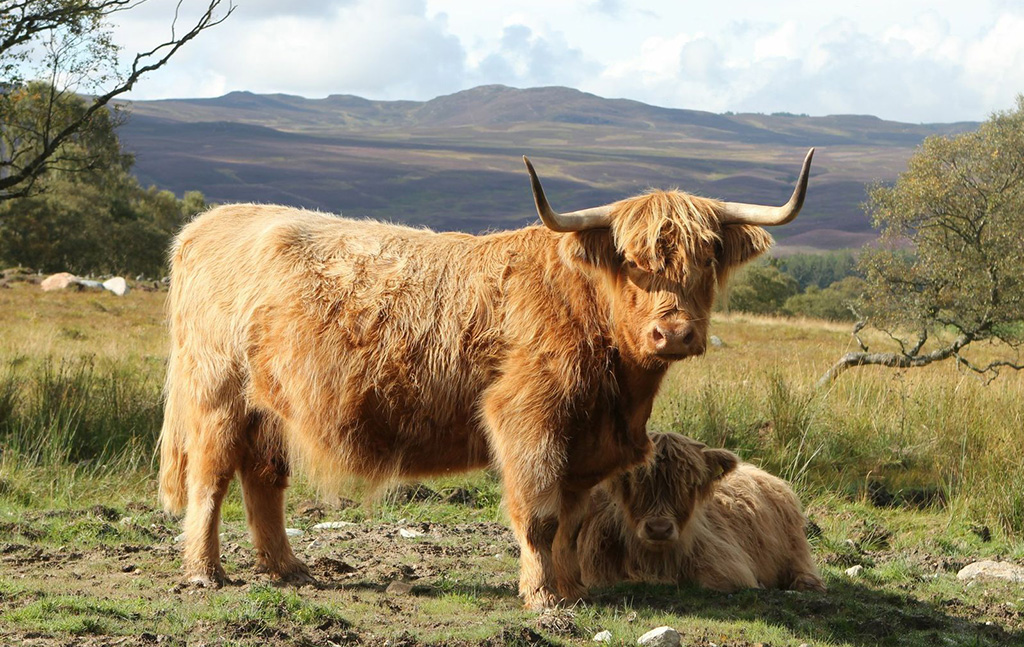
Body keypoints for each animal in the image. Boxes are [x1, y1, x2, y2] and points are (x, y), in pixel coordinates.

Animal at [581, 432, 827, 593]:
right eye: (633, 480)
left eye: (689, 483)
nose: (659, 529)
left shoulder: (727, 565)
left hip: (795, 546)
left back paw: (809, 584)